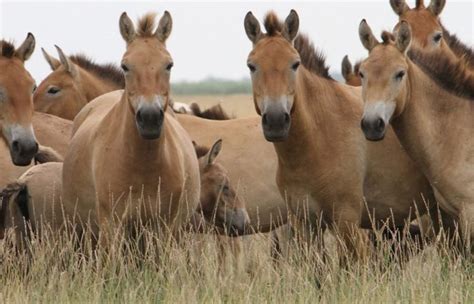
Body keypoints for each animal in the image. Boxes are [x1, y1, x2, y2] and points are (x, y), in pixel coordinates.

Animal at [60, 11, 200, 247]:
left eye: (169, 65)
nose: (150, 118)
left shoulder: (166, 229)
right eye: (125, 66)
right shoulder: (111, 227)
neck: (143, 165)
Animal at [244, 10, 440, 260]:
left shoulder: (347, 221)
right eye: (252, 66)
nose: (276, 120)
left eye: (295, 64)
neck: (318, 138)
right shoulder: (304, 224)